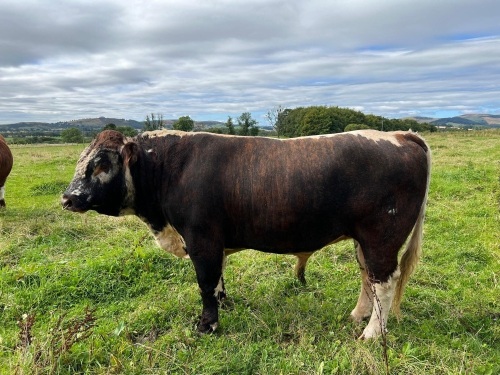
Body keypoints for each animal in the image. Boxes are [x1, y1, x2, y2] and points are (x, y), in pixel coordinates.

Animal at [61, 130, 430, 340]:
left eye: (100, 164)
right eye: (81, 160)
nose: (67, 198)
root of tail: (400, 134)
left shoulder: (201, 239)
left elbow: (205, 283)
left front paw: (207, 326)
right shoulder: (214, 241)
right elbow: (218, 280)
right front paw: (226, 305)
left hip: (382, 236)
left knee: (384, 281)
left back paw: (371, 334)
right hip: (362, 240)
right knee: (368, 277)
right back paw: (357, 316)